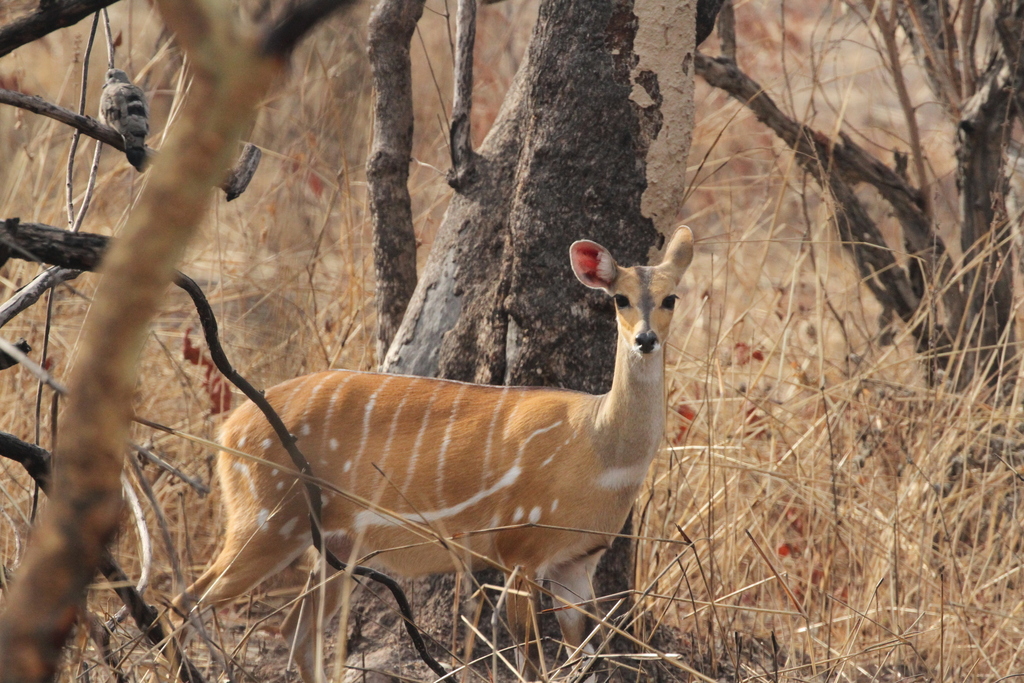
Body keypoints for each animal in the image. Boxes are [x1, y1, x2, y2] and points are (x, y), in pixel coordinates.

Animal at [176, 224, 696, 679]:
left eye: (670, 297)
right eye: (619, 298)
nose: (645, 339)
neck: (601, 453)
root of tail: (228, 430)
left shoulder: (577, 562)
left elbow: (586, 659)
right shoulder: (519, 548)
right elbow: (529, 663)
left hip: (336, 544)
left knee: (294, 631)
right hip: (266, 518)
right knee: (188, 601)